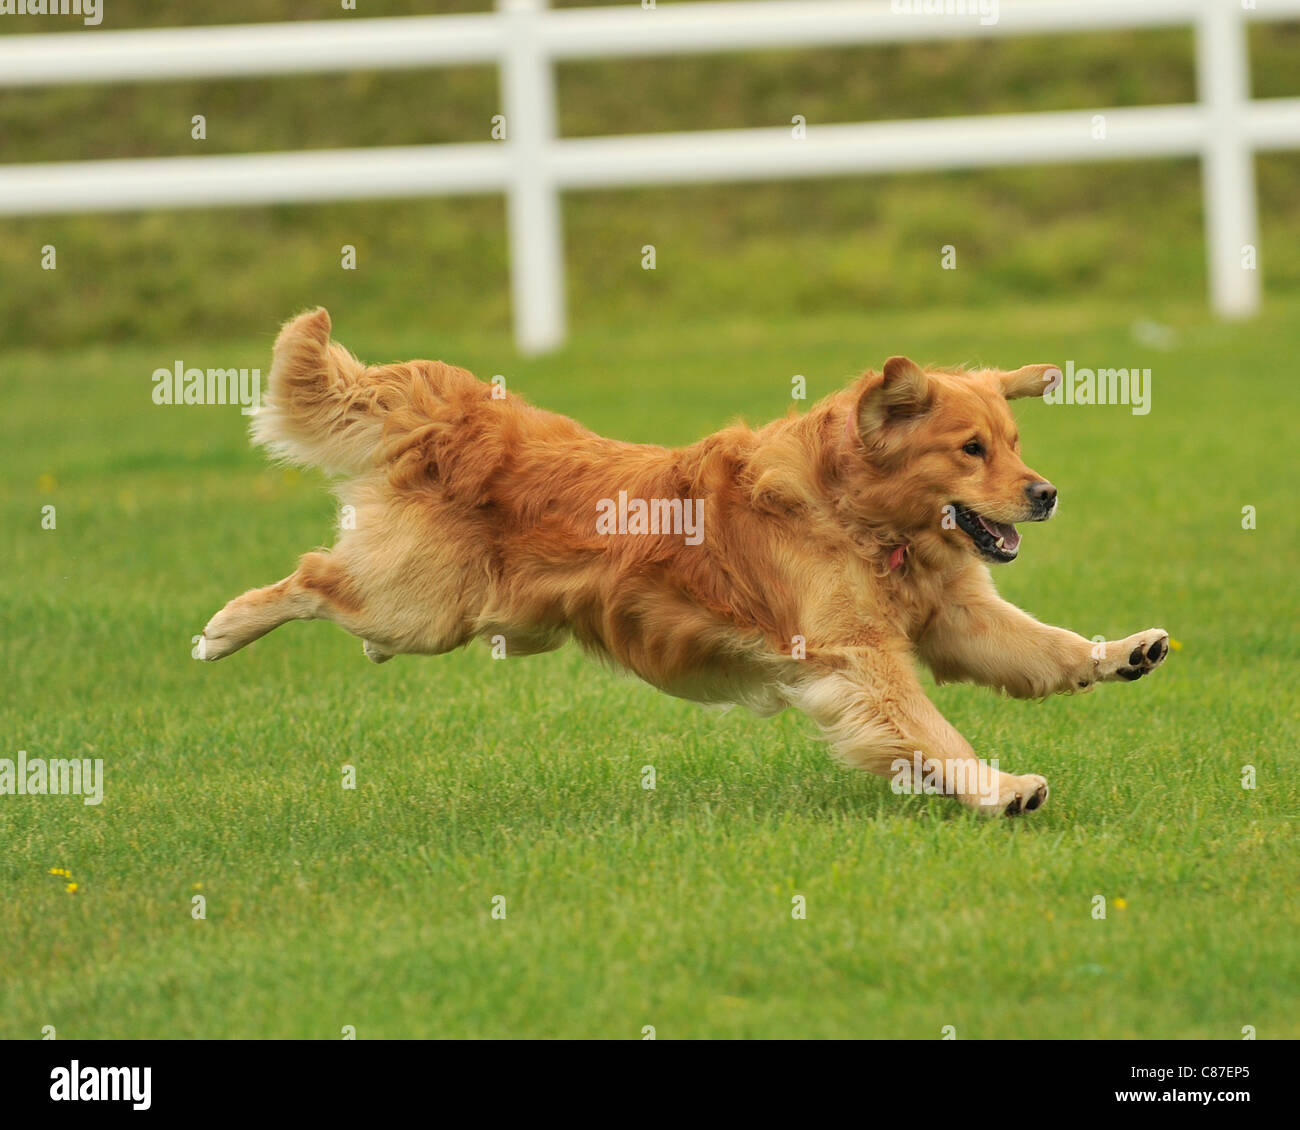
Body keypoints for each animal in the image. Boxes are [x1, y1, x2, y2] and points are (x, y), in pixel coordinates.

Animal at [200, 308, 1170, 816]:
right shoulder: (859, 657)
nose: (1047, 493)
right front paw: (997, 787)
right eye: (971, 449)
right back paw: (221, 630)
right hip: (427, 607)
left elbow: (1046, 646)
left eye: (1014, 443)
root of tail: (463, 414)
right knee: (313, 578)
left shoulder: (956, 617)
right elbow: (933, 731)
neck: (855, 515)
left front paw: (1121, 652)